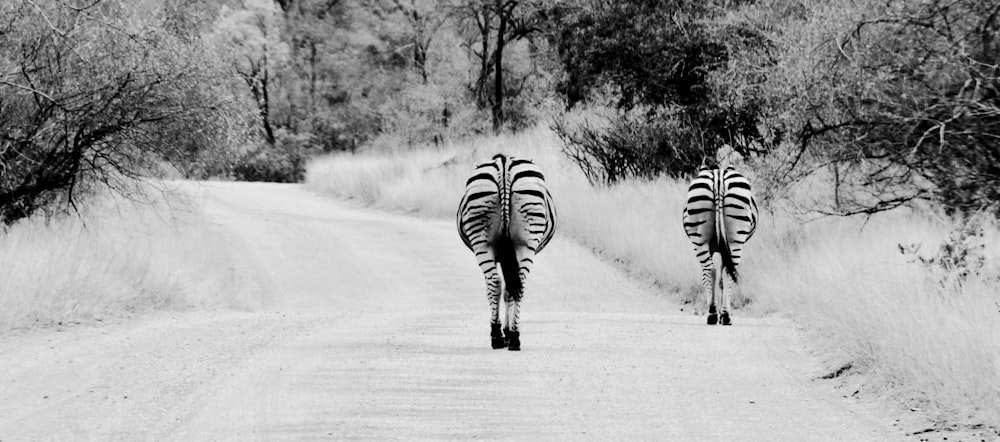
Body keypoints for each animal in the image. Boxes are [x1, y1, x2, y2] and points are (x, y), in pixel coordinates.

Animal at [458, 154, 560, 350]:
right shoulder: (508, 255)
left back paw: (497, 335)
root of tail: (504, 163)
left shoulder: (505, 256)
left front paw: (503, 330)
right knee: (517, 285)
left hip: (483, 242)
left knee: (495, 282)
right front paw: (507, 330)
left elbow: (505, 290)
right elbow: (509, 290)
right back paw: (513, 336)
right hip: (525, 241)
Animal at [680, 166, 756, 324]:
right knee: (721, 271)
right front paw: (721, 312)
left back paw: (715, 313)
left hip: (701, 239)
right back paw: (721, 314)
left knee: (714, 270)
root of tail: (718, 176)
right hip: (733, 240)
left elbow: (713, 278)